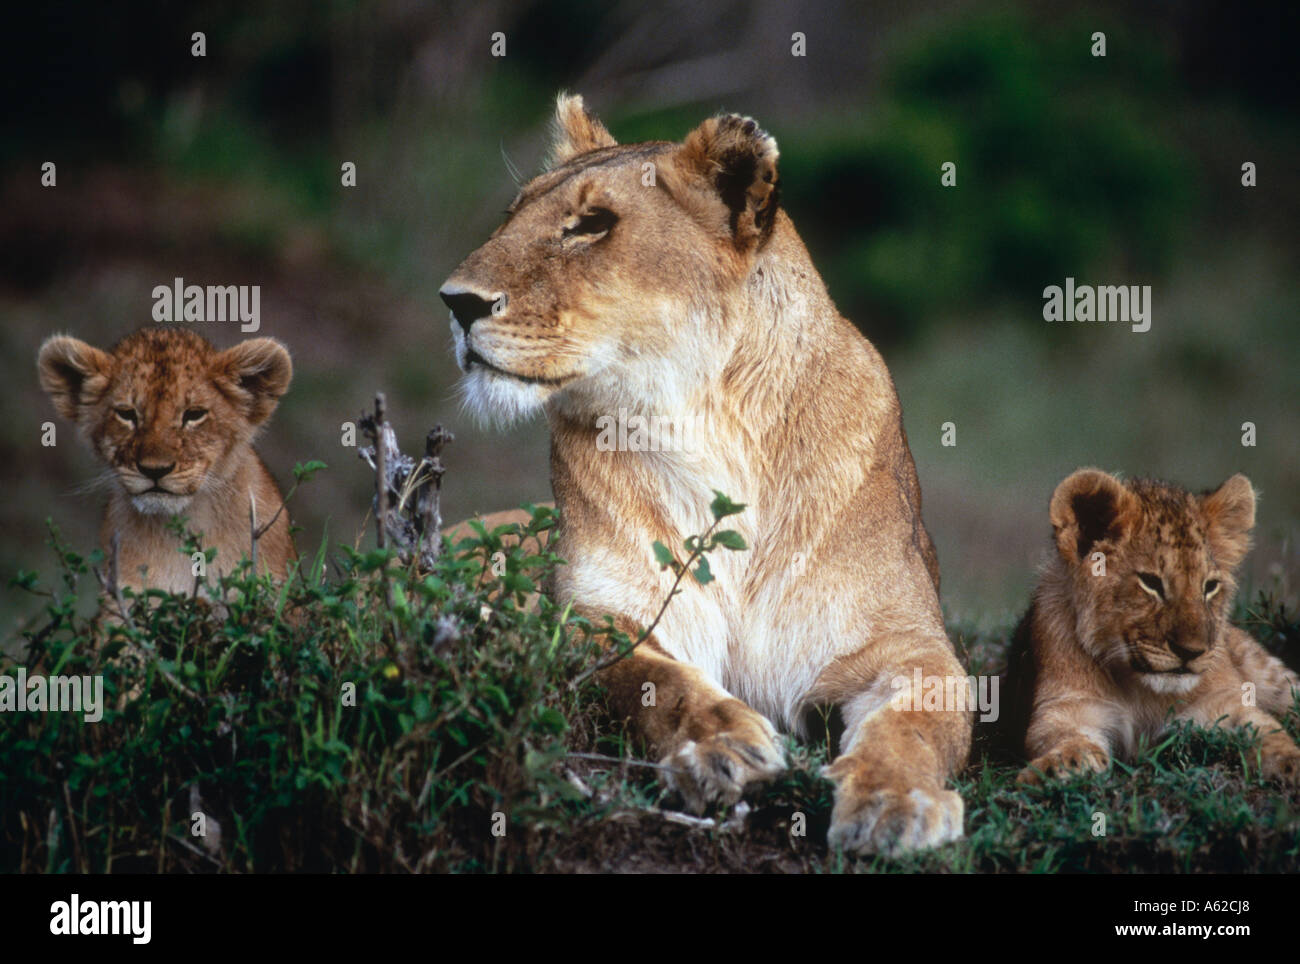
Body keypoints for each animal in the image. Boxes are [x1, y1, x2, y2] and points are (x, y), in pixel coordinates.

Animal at [438, 94, 971, 855]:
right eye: (512, 215)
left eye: (591, 225)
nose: (455, 302)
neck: (707, 425)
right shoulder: (596, 613)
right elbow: (654, 680)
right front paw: (721, 749)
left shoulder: (906, 641)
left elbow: (918, 719)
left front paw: (894, 801)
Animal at [1007, 468, 1300, 786]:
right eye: (1151, 583)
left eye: (1209, 586)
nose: (1191, 652)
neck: (1140, 689)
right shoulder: (1068, 707)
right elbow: (1067, 739)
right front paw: (1056, 767)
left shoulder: (1224, 702)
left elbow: (1268, 730)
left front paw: (1292, 763)